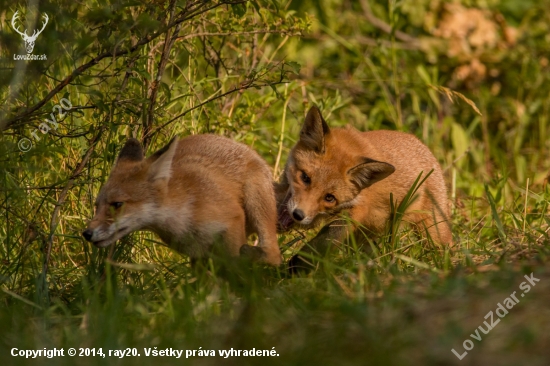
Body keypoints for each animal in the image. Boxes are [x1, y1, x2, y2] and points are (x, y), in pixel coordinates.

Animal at [83, 134, 282, 266]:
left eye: (117, 204)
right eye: (97, 206)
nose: (86, 233)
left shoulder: (233, 219)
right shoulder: (198, 254)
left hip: (257, 206)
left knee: (274, 255)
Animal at [276, 107, 452, 270]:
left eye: (329, 197)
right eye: (305, 177)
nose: (298, 215)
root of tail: (423, 145)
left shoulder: (355, 211)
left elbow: (325, 240)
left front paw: (298, 265)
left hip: (432, 231)